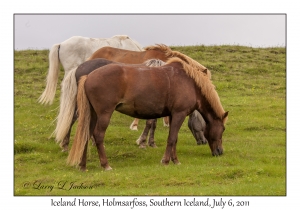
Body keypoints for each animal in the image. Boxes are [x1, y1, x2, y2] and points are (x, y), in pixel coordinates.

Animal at [67, 57, 229, 171]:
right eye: (223, 129)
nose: (220, 152)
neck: (190, 83)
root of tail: (88, 76)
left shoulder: (173, 115)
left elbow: (174, 138)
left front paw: (175, 161)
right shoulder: (179, 114)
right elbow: (171, 138)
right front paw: (165, 161)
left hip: (93, 115)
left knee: (86, 134)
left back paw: (83, 166)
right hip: (104, 114)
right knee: (98, 135)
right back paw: (106, 165)